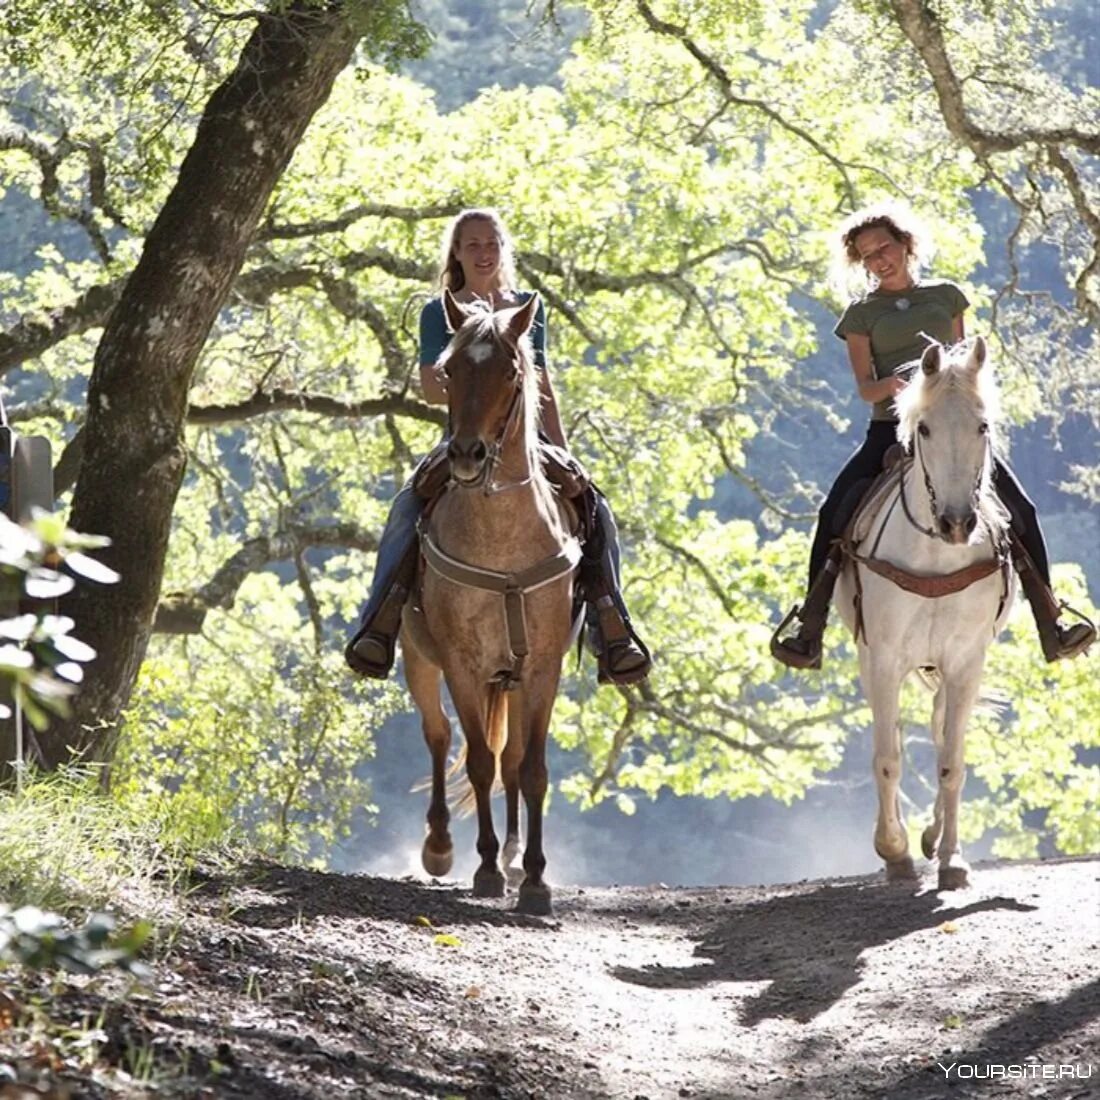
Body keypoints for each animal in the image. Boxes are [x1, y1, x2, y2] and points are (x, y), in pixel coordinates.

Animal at [400, 288, 580, 915]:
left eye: (511, 371)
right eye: (449, 370)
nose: (468, 456)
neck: (502, 543)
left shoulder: (544, 667)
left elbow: (532, 769)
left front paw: (535, 880)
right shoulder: (462, 663)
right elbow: (477, 761)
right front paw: (483, 870)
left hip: (513, 679)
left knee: (513, 761)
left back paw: (513, 853)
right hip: (418, 659)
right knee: (438, 736)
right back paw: (440, 846)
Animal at [836, 338, 1016, 888]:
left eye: (982, 426)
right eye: (925, 428)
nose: (957, 523)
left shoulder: (966, 661)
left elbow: (951, 761)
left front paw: (952, 859)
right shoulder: (883, 657)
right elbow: (888, 758)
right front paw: (893, 851)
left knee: (939, 732)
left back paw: (934, 838)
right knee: (893, 735)